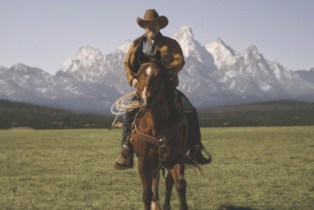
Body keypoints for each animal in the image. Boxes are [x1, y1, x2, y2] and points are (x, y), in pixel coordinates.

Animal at [129, 62, 189, 210]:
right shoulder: (143, 161)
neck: (157, 129)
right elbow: (147, 193)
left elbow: (180, 185)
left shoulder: (177, 158)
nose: (145, 100)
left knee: (168, 183)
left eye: (159, 76)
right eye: (139, 75)